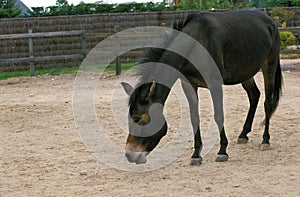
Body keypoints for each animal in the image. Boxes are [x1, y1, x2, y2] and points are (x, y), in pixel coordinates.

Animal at [121, 8, 282, 164]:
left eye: (138, 119)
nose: (129, 155)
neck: (194, 45)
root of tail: (270, 20)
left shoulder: (214, 83)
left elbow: (219, 115)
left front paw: (222, 151)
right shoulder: (189, 85)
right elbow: (194, 117)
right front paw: (196, 154)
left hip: (269, 66)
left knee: (267, 102)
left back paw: (265, 140)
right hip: (246, 73)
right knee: (254, 96)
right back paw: (243, 134)